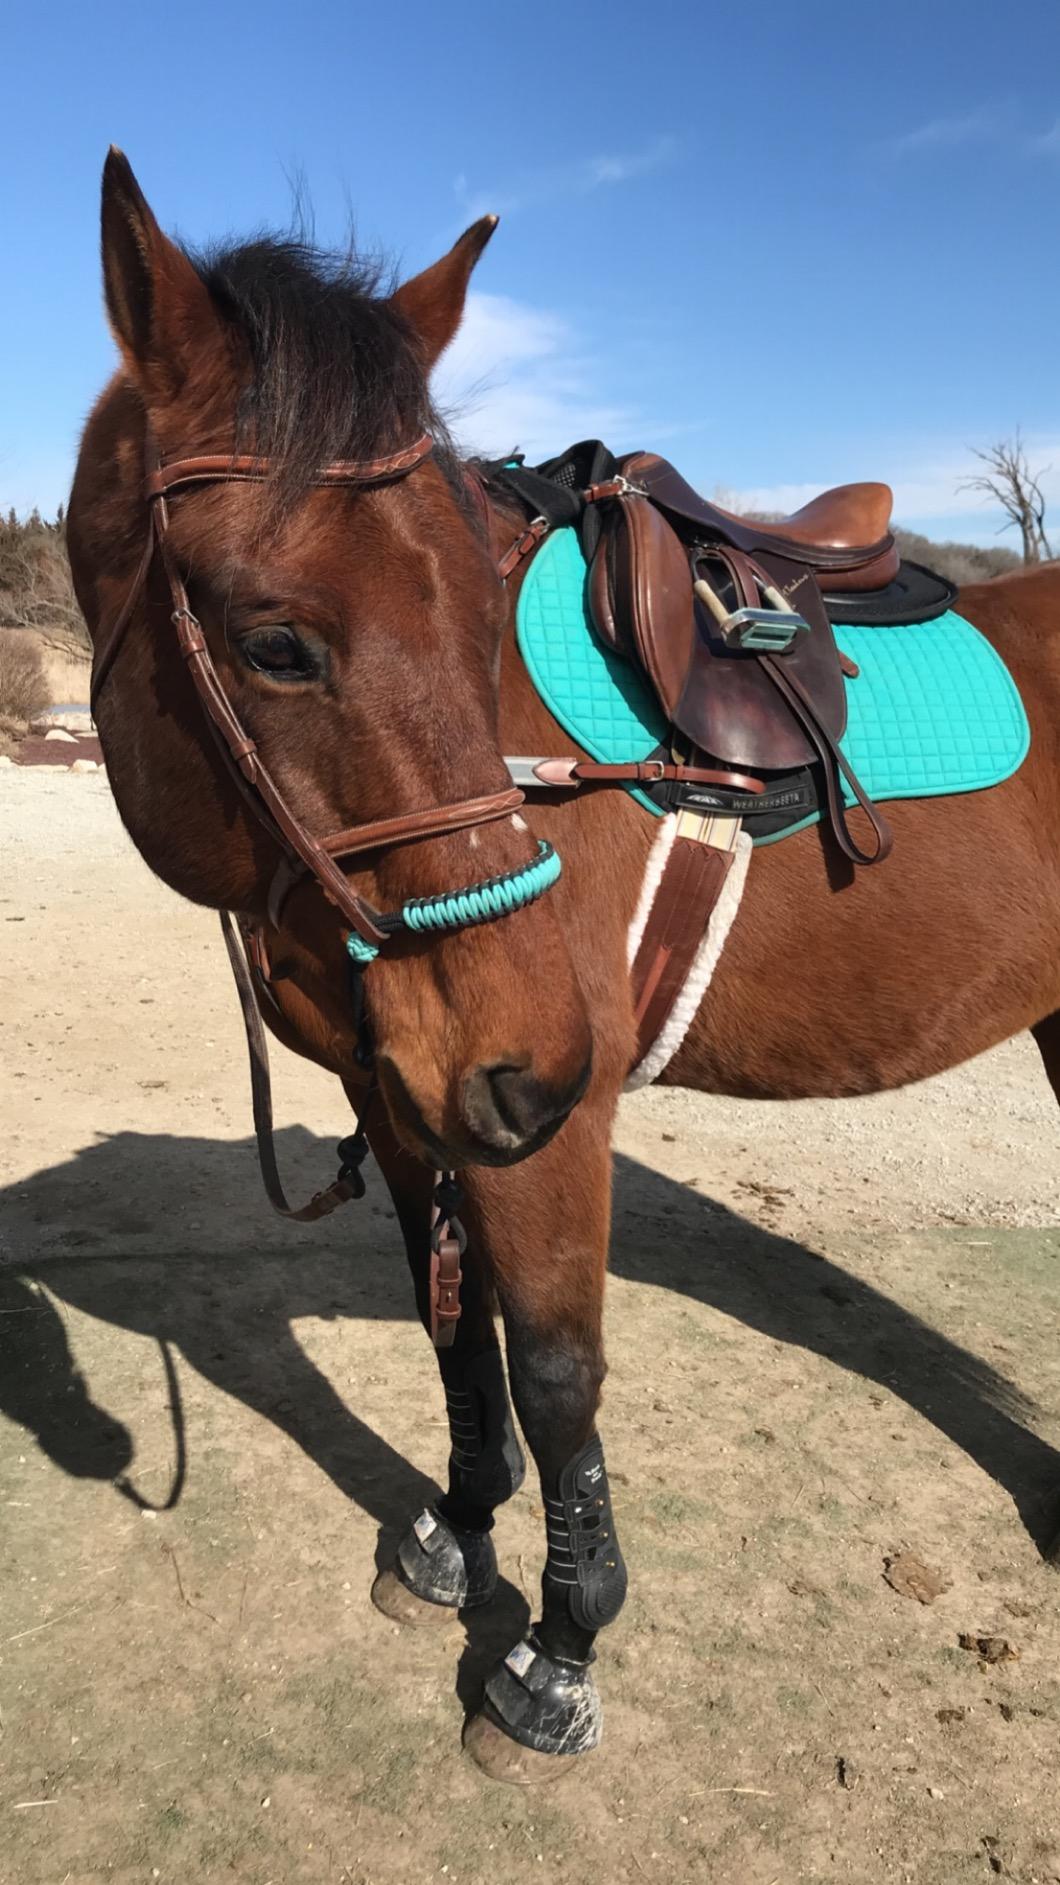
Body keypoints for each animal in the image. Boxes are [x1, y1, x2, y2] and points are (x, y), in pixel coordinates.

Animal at [67, 149, 1060, 1783]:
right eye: (274, 643)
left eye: (487, 617)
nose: (534, 1053)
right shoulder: (419, 1102)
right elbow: (456, 1339)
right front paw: (456, 1535)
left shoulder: (544, 1126)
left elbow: (553, 1372)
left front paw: (560, 1647)